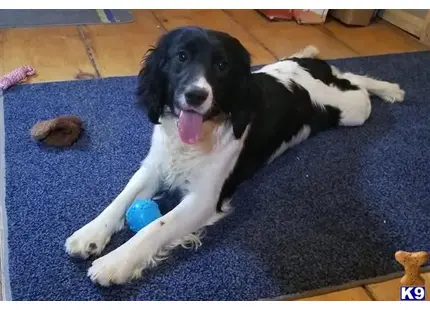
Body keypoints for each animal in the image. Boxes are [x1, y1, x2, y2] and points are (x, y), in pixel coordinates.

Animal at [65, 26, 404, 286]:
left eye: (222, 65)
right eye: (181, 57)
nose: (196, 95)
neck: (195, 137)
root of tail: (310, 67)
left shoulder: (204, 199)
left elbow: (155, 227)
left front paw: (115, 263)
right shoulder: (154, 167)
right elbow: (122, 199)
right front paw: (89, 234)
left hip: (352, 110)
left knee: (357, 83)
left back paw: (390, 89)